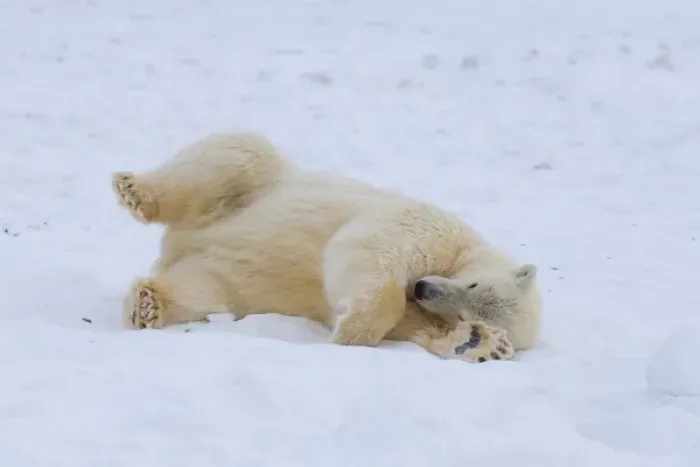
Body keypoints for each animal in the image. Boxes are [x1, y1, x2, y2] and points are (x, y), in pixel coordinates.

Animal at [111, 132, 542, 363]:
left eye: (466, 313)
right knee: (237, 153)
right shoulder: (429, 226)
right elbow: (370, 249)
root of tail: (179, 244)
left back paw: (149, 304)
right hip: (253, 188)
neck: (460, 253)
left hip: (222, 276)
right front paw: (350, 333)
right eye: (472, 285)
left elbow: (412, 327)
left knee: (204, 291)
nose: (422, 288)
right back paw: (135, 190)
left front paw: (481, 344)